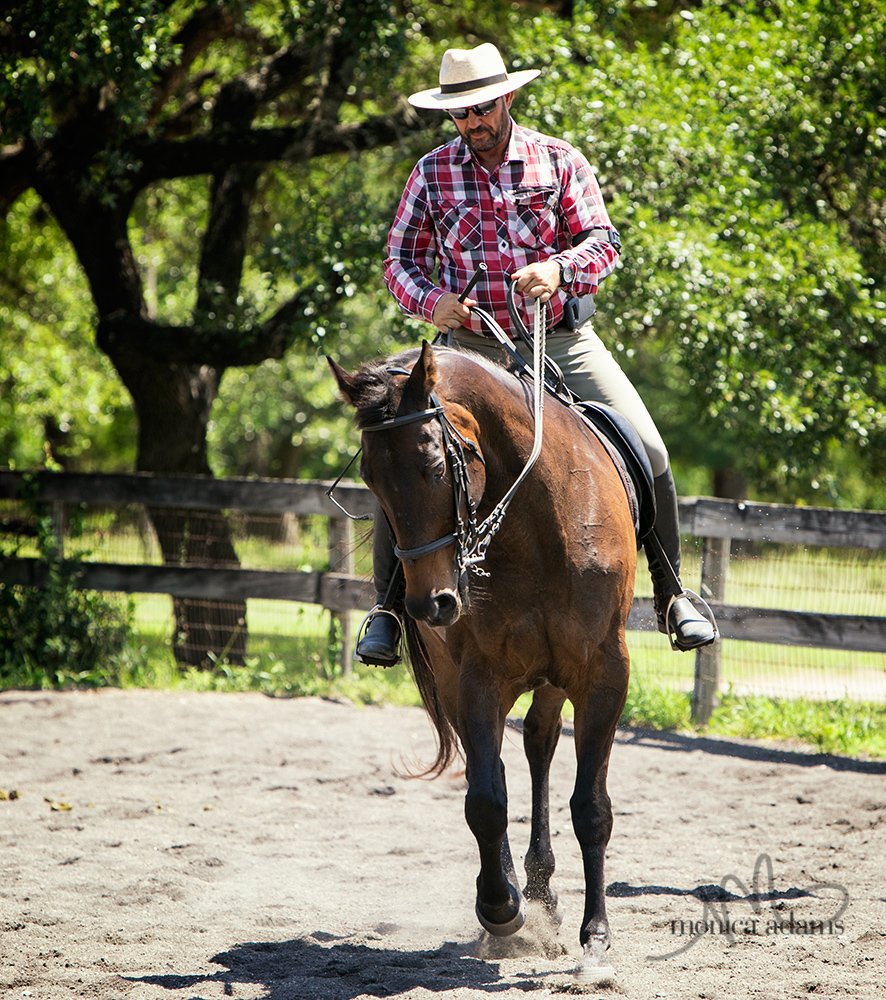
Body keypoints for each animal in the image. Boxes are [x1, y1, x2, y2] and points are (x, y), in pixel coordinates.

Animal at [330, 338, 636, 976]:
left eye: (436, 465)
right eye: (370, 478)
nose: (432, 603)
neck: (538, 526)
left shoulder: (603, 675)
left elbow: (591, 806)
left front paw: (596, 934)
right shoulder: (477, 678)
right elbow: (486, 801)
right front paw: (499, 909)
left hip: (554, 679)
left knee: (540, 744)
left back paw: (544, 890)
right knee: (495, 762)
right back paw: (523, 895)